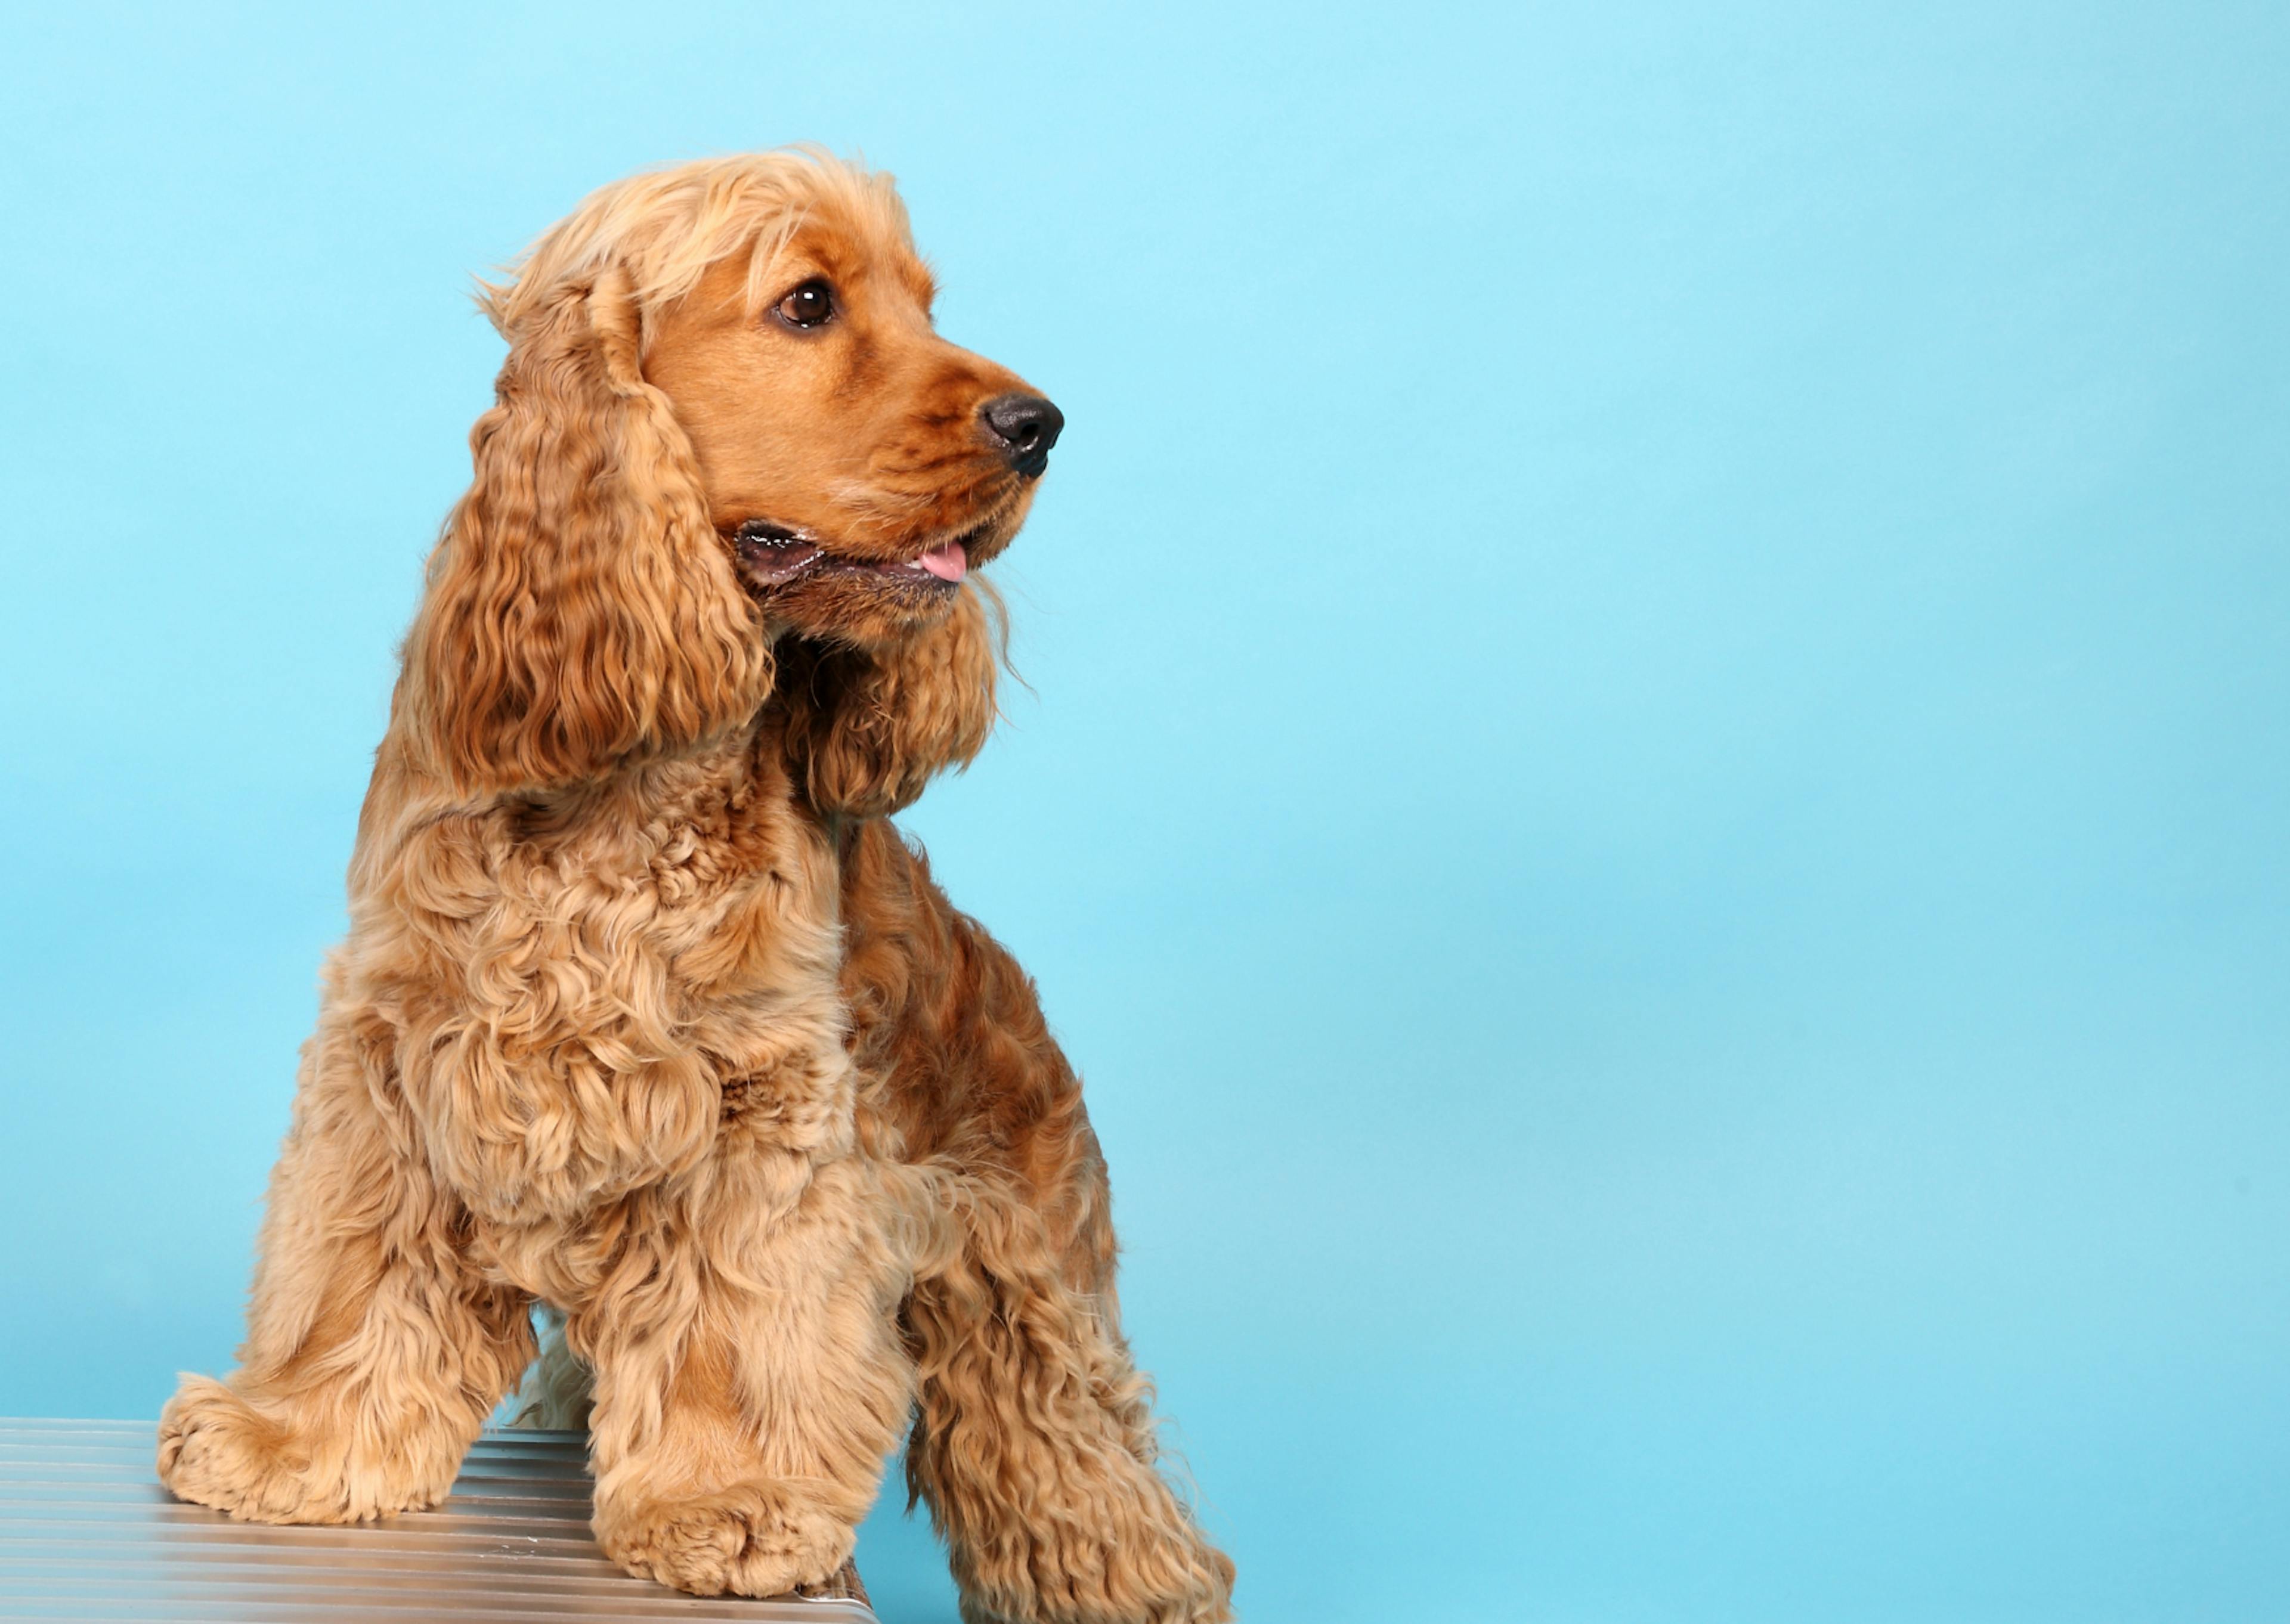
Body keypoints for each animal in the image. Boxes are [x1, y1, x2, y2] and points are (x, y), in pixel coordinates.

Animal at [157, 148, 1236, 1622]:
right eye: (808, 303)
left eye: (926, 302)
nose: (1041, 423)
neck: (624, 785)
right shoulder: (395, 1046)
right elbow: (356, 1269)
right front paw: (293, 1438)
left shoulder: (762, 1102)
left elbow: (737, 1321)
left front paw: (726, 1501)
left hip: (1035, 1311)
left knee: (1103, 1499)